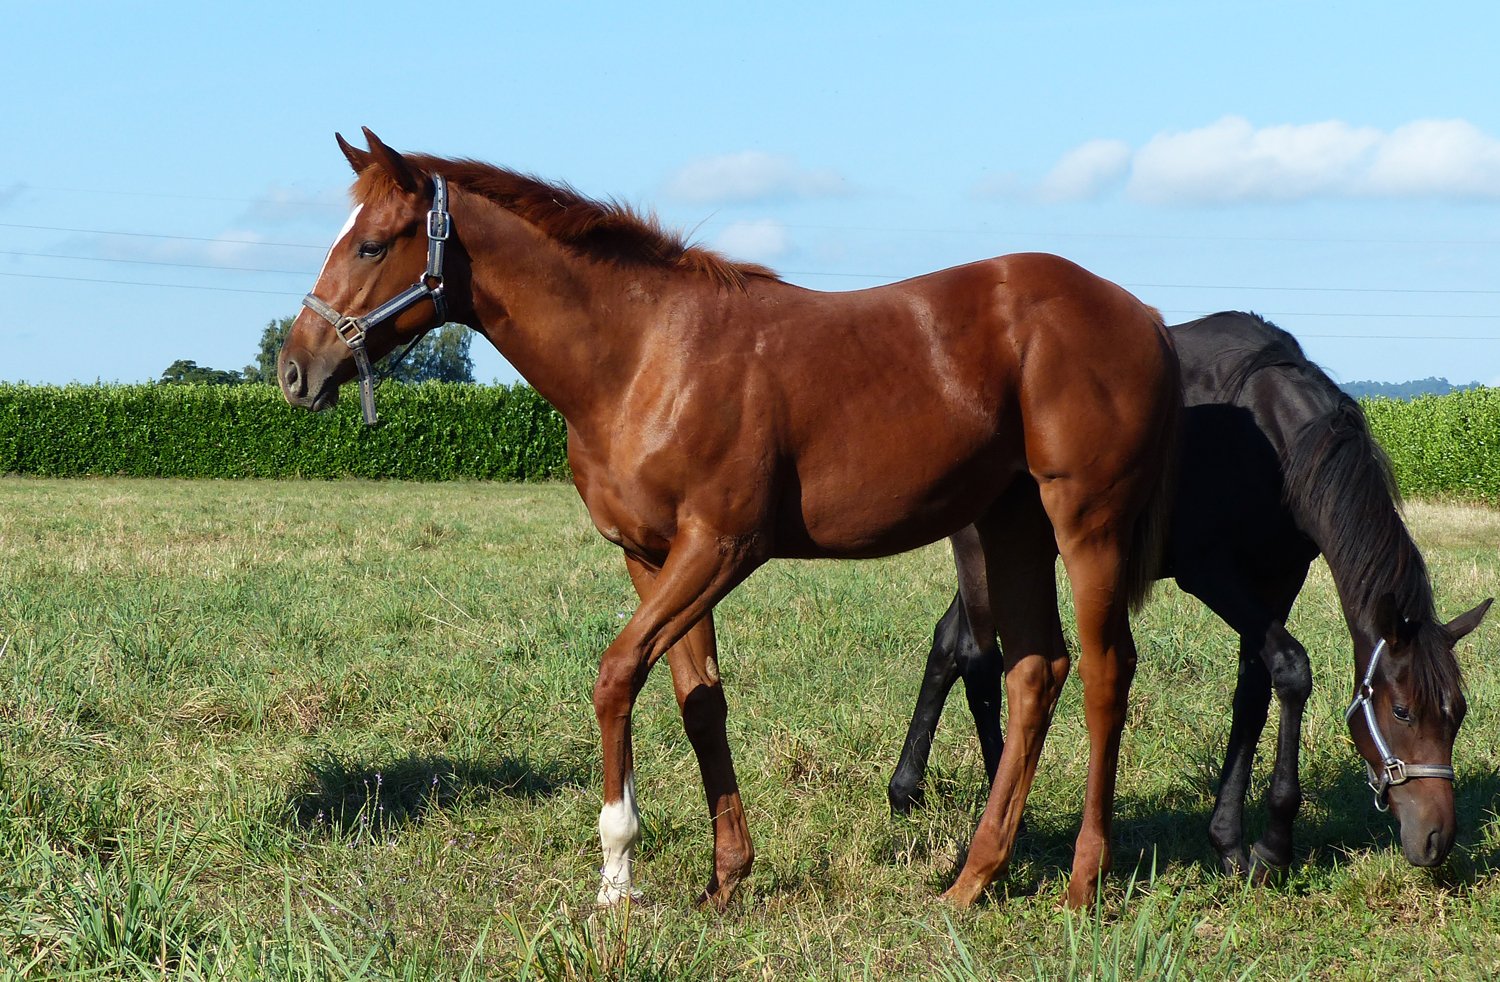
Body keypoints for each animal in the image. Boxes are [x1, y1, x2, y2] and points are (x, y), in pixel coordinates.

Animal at [277, 129, 1180, 910]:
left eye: (372, 244)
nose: (294, 370)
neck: (647, 356)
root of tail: (1143, 315)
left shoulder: (721, 546)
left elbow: (616, 675)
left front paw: (616, 874)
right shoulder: (651, 556)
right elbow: (698, 701)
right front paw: (726, 877)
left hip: (1084, 524)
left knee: (1105, 673)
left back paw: (1081, 884)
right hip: (1009, 526)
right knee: (1036, 671)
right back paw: (972, 880)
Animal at [888, 311, 1492, 879]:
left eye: (1458, 714)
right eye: (1402, 711)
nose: (1436, 840)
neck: (1273, 434)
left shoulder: (1280, 578)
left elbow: (1254, 688)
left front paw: (1231, 843)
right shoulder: (1210, 574)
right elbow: (1291, 668)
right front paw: (1274, 845)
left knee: (949, 643)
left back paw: (906, 788)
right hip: (986, 550)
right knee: (978, 656)